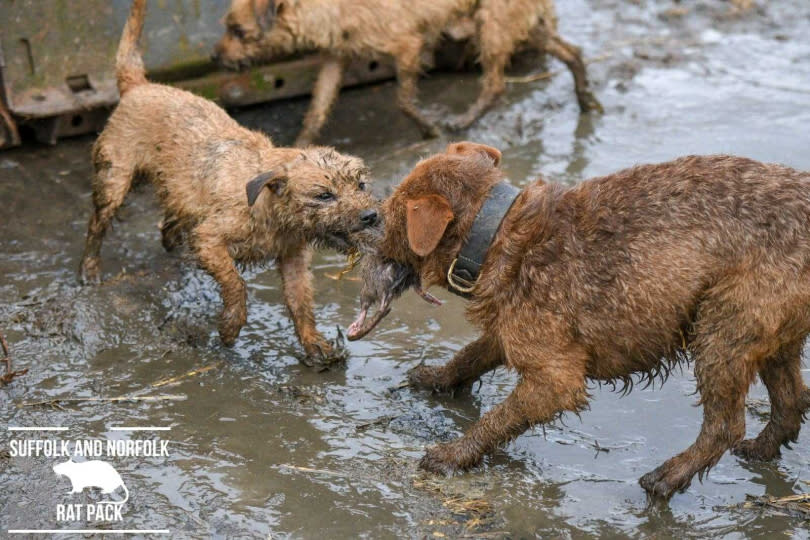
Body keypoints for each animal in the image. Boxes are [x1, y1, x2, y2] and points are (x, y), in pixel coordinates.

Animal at [77, 1, 378, 362]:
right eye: (324, 196)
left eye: (360, 186)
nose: (371, 216)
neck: (267, 204)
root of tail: (139, 85)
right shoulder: (210, 240)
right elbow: (235, 283)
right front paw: (231, 325)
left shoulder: (292, 258)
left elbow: (300, 301)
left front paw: (313, 343)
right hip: (115, 179)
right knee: (97, 225)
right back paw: (89, 270)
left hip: (179, 193)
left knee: (169, 223)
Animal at [213, 0, 600, 148]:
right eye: (227, 27)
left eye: (238, 31)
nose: (214, 55)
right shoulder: (336, 59)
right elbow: (317, 109)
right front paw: (299, 146)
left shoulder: (409, 46)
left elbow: (403, 100)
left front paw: (428, 128)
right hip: (524, 25)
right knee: (572, 52)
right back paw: (585, 98)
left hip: (492, 25)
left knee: (494, 84)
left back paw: (463, 120)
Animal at [346, 141, 808, 500]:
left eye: (389, 212)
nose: (363, 228)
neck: (495, 235)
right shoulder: (512, 330)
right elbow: (471, 353)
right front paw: (436, 377)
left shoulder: (555, 378)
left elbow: (496, 419)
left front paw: (452, 455)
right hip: (773, 336)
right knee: (790, 401)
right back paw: (760, 449)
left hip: (723, 329)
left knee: (726, 425)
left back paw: (666, 478)